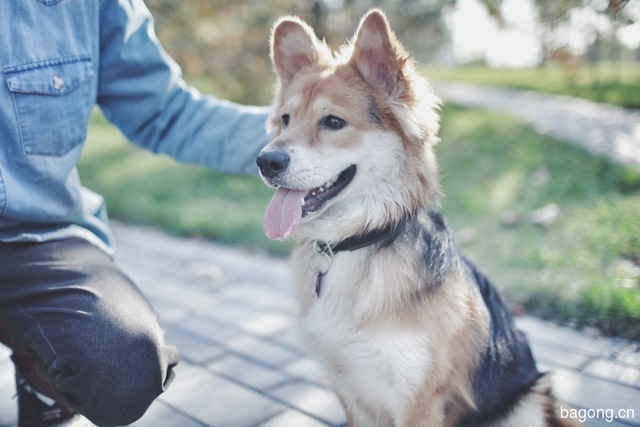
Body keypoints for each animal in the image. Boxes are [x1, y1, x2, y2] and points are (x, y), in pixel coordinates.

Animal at [256, 10, 580, 427]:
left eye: (333, 122)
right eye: (285, 119)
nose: (265, 161)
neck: (360, 241)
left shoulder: (421, 398)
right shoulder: (349, 390)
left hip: (529, 401)